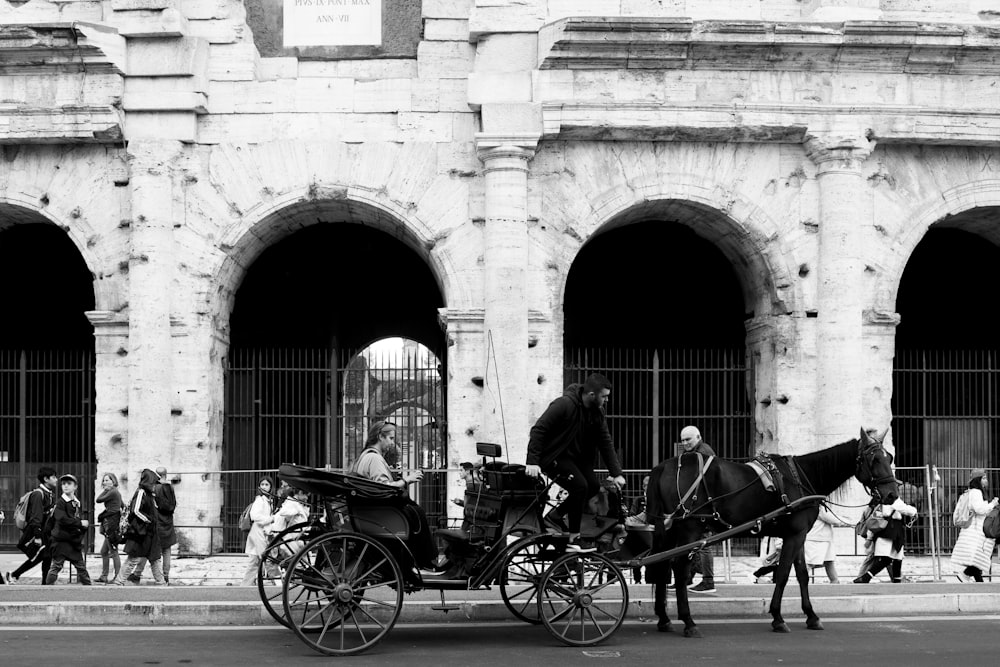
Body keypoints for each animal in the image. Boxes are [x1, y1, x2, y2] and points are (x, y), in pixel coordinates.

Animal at [644, 430, 904, 640]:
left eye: (889, 458)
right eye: (874, 459)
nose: (892, 494)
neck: (802, 475)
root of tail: (663, 466)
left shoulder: (798, 536)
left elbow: (801, 574)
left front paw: (811, 615)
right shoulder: (795, 535)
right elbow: (783, 574)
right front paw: (778, 618)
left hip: (670, 530)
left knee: (662, 566)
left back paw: (664, 619)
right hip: (691, 529)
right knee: (678, 568)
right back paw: (688, 622)